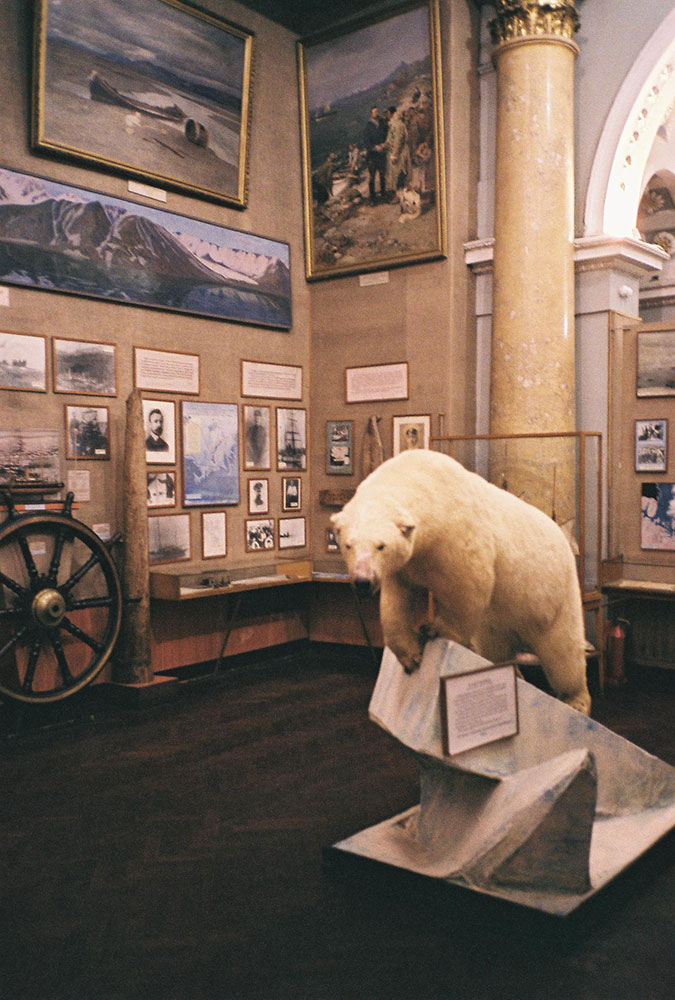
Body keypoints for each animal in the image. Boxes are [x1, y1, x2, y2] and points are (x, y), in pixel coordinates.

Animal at [332, 450, 592, 716]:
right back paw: (513, 673)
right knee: (497, 647)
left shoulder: (456, 532)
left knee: (562, 652)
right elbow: (396, 602)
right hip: (499, 620)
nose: (363, 582)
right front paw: (410, 657)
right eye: (349, 545)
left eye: (380, 546)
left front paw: (434, 628)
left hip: (553, 594)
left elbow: (469, 582)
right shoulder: (406, 565)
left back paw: (576, 700)